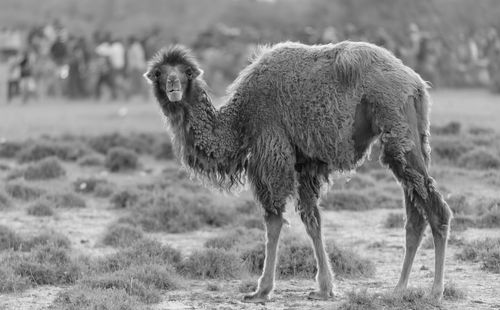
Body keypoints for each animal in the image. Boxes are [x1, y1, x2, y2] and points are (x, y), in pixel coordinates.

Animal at [145, 41, 454, 302]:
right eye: (160, 72)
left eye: (186, 72)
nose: (173, 85)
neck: (240, 121)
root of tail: (416, 84)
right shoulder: (305, 163)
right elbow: (312, 220)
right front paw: (325, 288)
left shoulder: (272, 150)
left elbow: (273, 220)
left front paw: (261, 290)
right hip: (414, 136)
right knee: (415, 213)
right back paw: (399, 289)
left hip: (396, 127)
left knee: (436, 208)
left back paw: (435, 292)